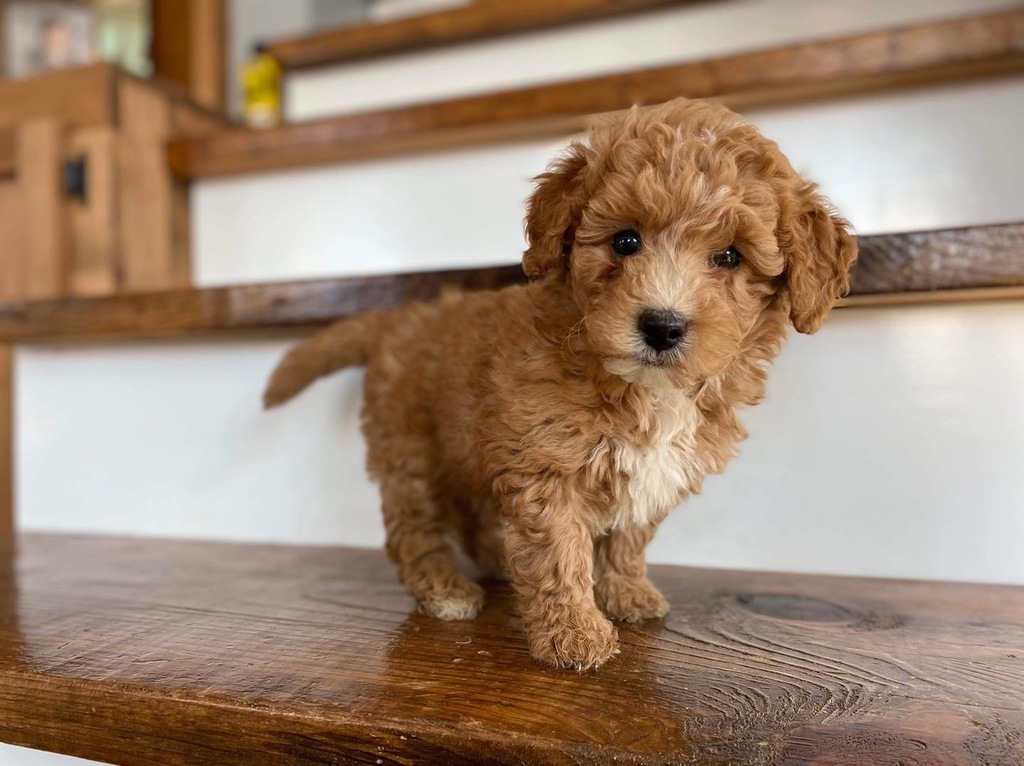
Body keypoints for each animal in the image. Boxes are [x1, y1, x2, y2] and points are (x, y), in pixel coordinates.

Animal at [262, 97, 856, 671]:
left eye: (730, 256)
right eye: (625, 241)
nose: (662, 326)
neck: (642, 389)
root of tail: (398, 321)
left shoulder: (651, 473)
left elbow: (628, 536)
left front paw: (626, 592)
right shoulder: (546, 461)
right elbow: (559, 552)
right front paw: (573, 632)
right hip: (413, 451)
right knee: (413, 529)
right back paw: (444, 589)